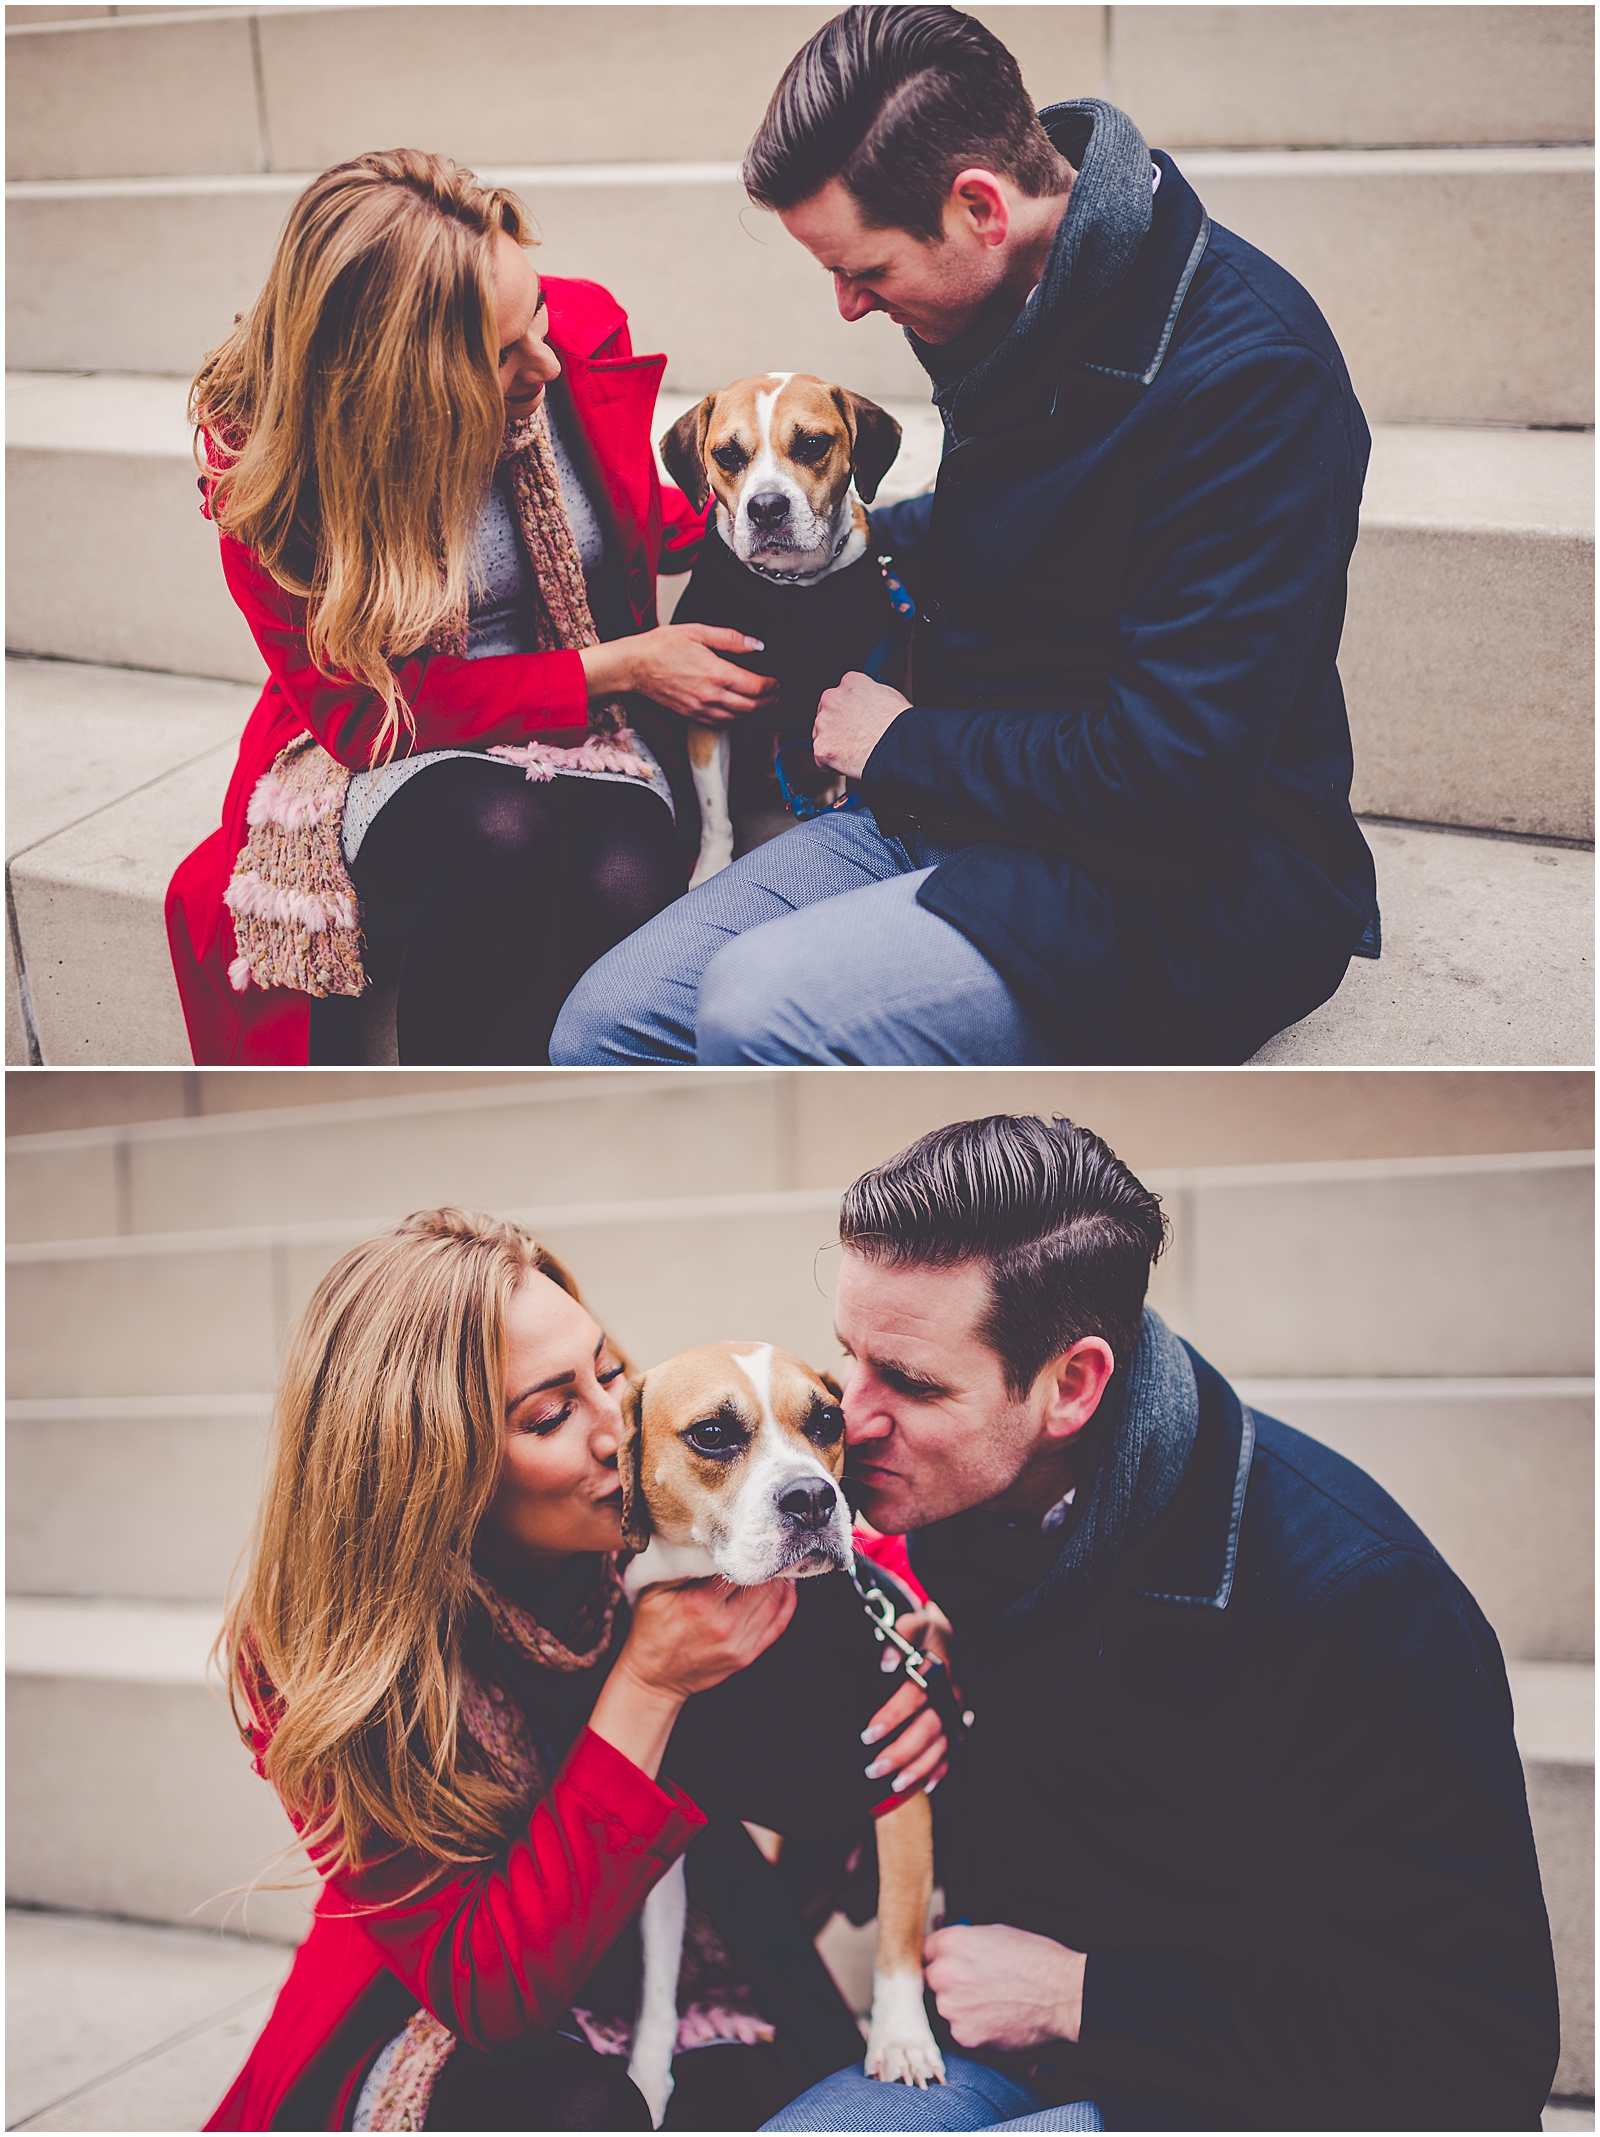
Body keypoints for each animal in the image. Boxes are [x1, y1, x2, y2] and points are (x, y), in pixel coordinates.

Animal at [615, 1333, 944, 2119]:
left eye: (827, 1421)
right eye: (712, 1433)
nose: (814, 1496)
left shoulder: (896, 1788)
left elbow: (899, 1930)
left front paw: (902, 2039)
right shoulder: (682, 1840)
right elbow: (658, 1979)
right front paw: (648, 2073)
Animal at [657, 376, 905, 884]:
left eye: (812, 445)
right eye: (728, 454)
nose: (767, 507)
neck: (789, 582)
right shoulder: (710, 710)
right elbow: (714, 809)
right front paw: (711, 867)